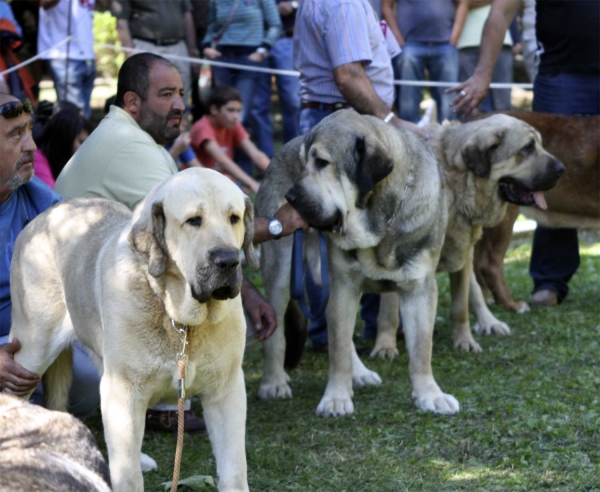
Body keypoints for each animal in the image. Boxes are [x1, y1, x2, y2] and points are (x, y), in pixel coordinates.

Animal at [8, 167, 258, 490]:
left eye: (234, 218)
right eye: (194, 220)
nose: (228, 260)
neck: (179, 319)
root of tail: (45, 216)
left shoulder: (226, 391)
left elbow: (234, 469)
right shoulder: (124, 390)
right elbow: (127, 474)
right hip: (32, 350)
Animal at [372, 114, 564, 356]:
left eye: (539, 144)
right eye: (528, 147)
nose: (562, 168)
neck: (458, 182)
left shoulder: (462, 254)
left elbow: (460, 306)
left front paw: (465, 341)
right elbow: (388, 310)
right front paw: (385, 346)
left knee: (475, 292)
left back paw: (489, 321)